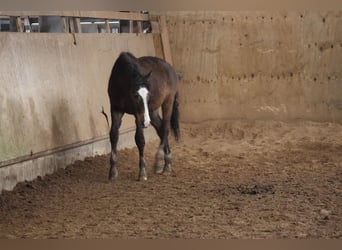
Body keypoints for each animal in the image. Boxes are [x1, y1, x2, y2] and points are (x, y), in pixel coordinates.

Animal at [108, 51, 180, 181]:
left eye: (148, 95)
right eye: (135, 95)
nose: (146, 122)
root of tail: (171, 69)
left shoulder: (138, 115)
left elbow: (140, 139)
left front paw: (142, 172)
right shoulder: (115, 109)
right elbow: (114, 135)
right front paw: (113, 172)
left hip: (168, 102)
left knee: (166, 129)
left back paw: (159, 162)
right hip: (151, 111)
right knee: (161, 128)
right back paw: (167, 162)